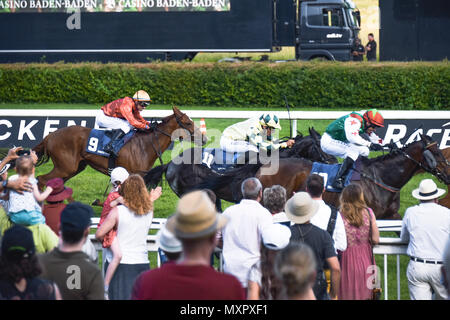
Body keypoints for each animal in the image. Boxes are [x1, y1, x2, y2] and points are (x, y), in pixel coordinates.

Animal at [33, 106, 206, 188]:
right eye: (188, 123)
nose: (204, 138)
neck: (145, 145)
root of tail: (50, 136)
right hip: (64, 167)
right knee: (41, 180)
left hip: (74, 168)